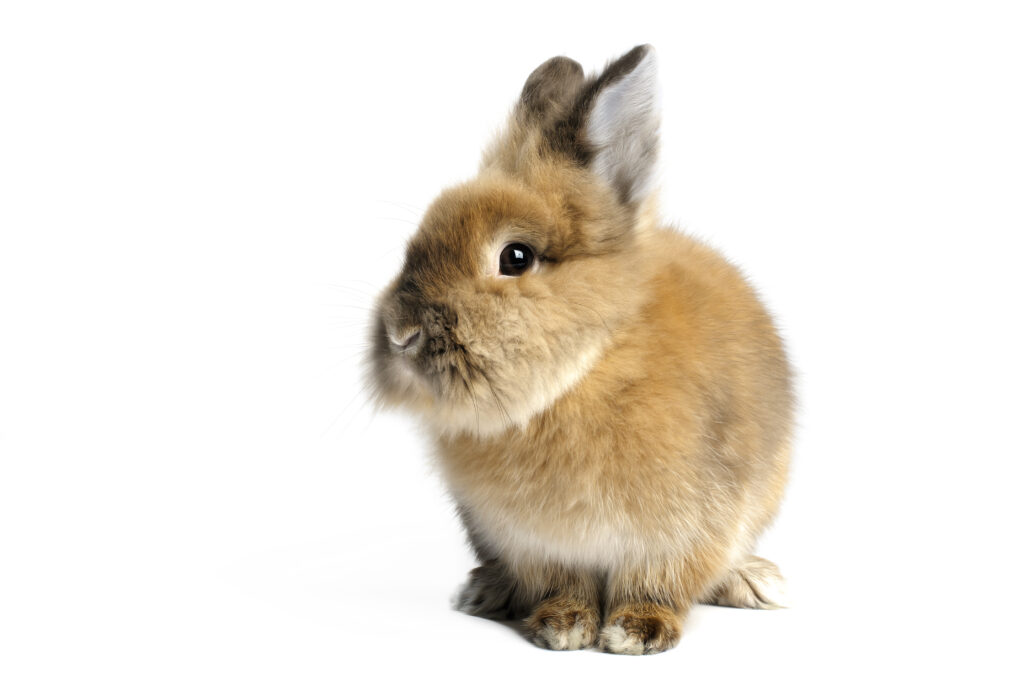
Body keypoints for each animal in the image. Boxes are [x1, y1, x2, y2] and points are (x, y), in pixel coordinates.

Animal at [367, 45, 793, 655]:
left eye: (515, 257)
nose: (400, 333)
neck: (582, 373)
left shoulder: (690, 526)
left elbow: (660, 580)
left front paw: (637, 632)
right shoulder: (529, 539)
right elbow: (559, 583)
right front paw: (563, 626)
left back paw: (755, 583)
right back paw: (483, 591)